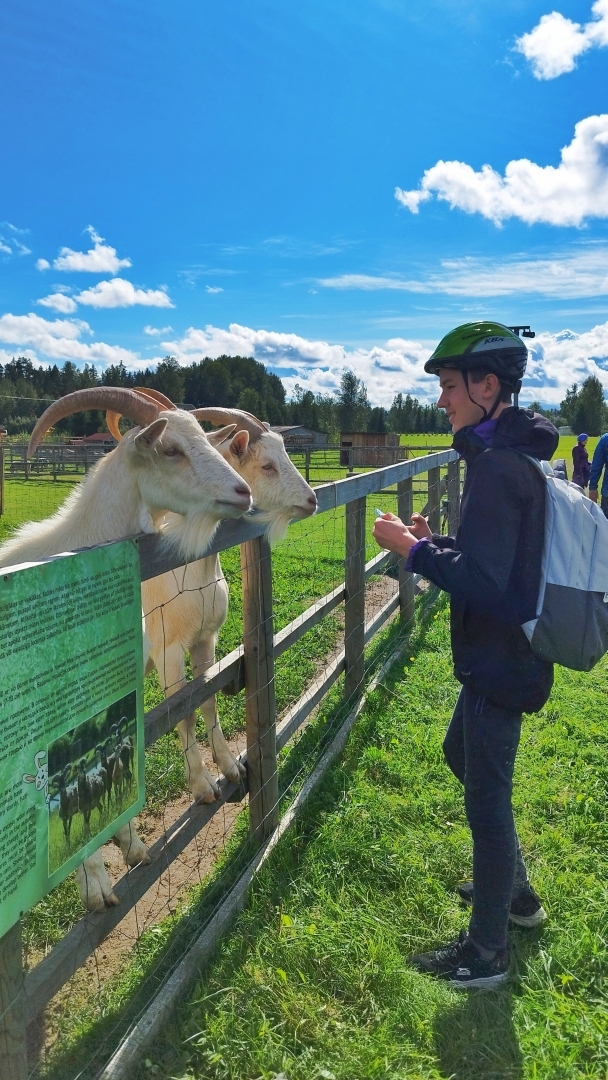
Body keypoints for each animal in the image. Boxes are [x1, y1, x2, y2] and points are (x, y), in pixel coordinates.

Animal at [106, 401, 317, 807]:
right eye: (267, 465)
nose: (312, 499)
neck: (190, 573)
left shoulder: (206, 639)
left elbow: (208, 700)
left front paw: (230, 767)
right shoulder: (168, 651)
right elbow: (181, 714)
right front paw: (202, 786)